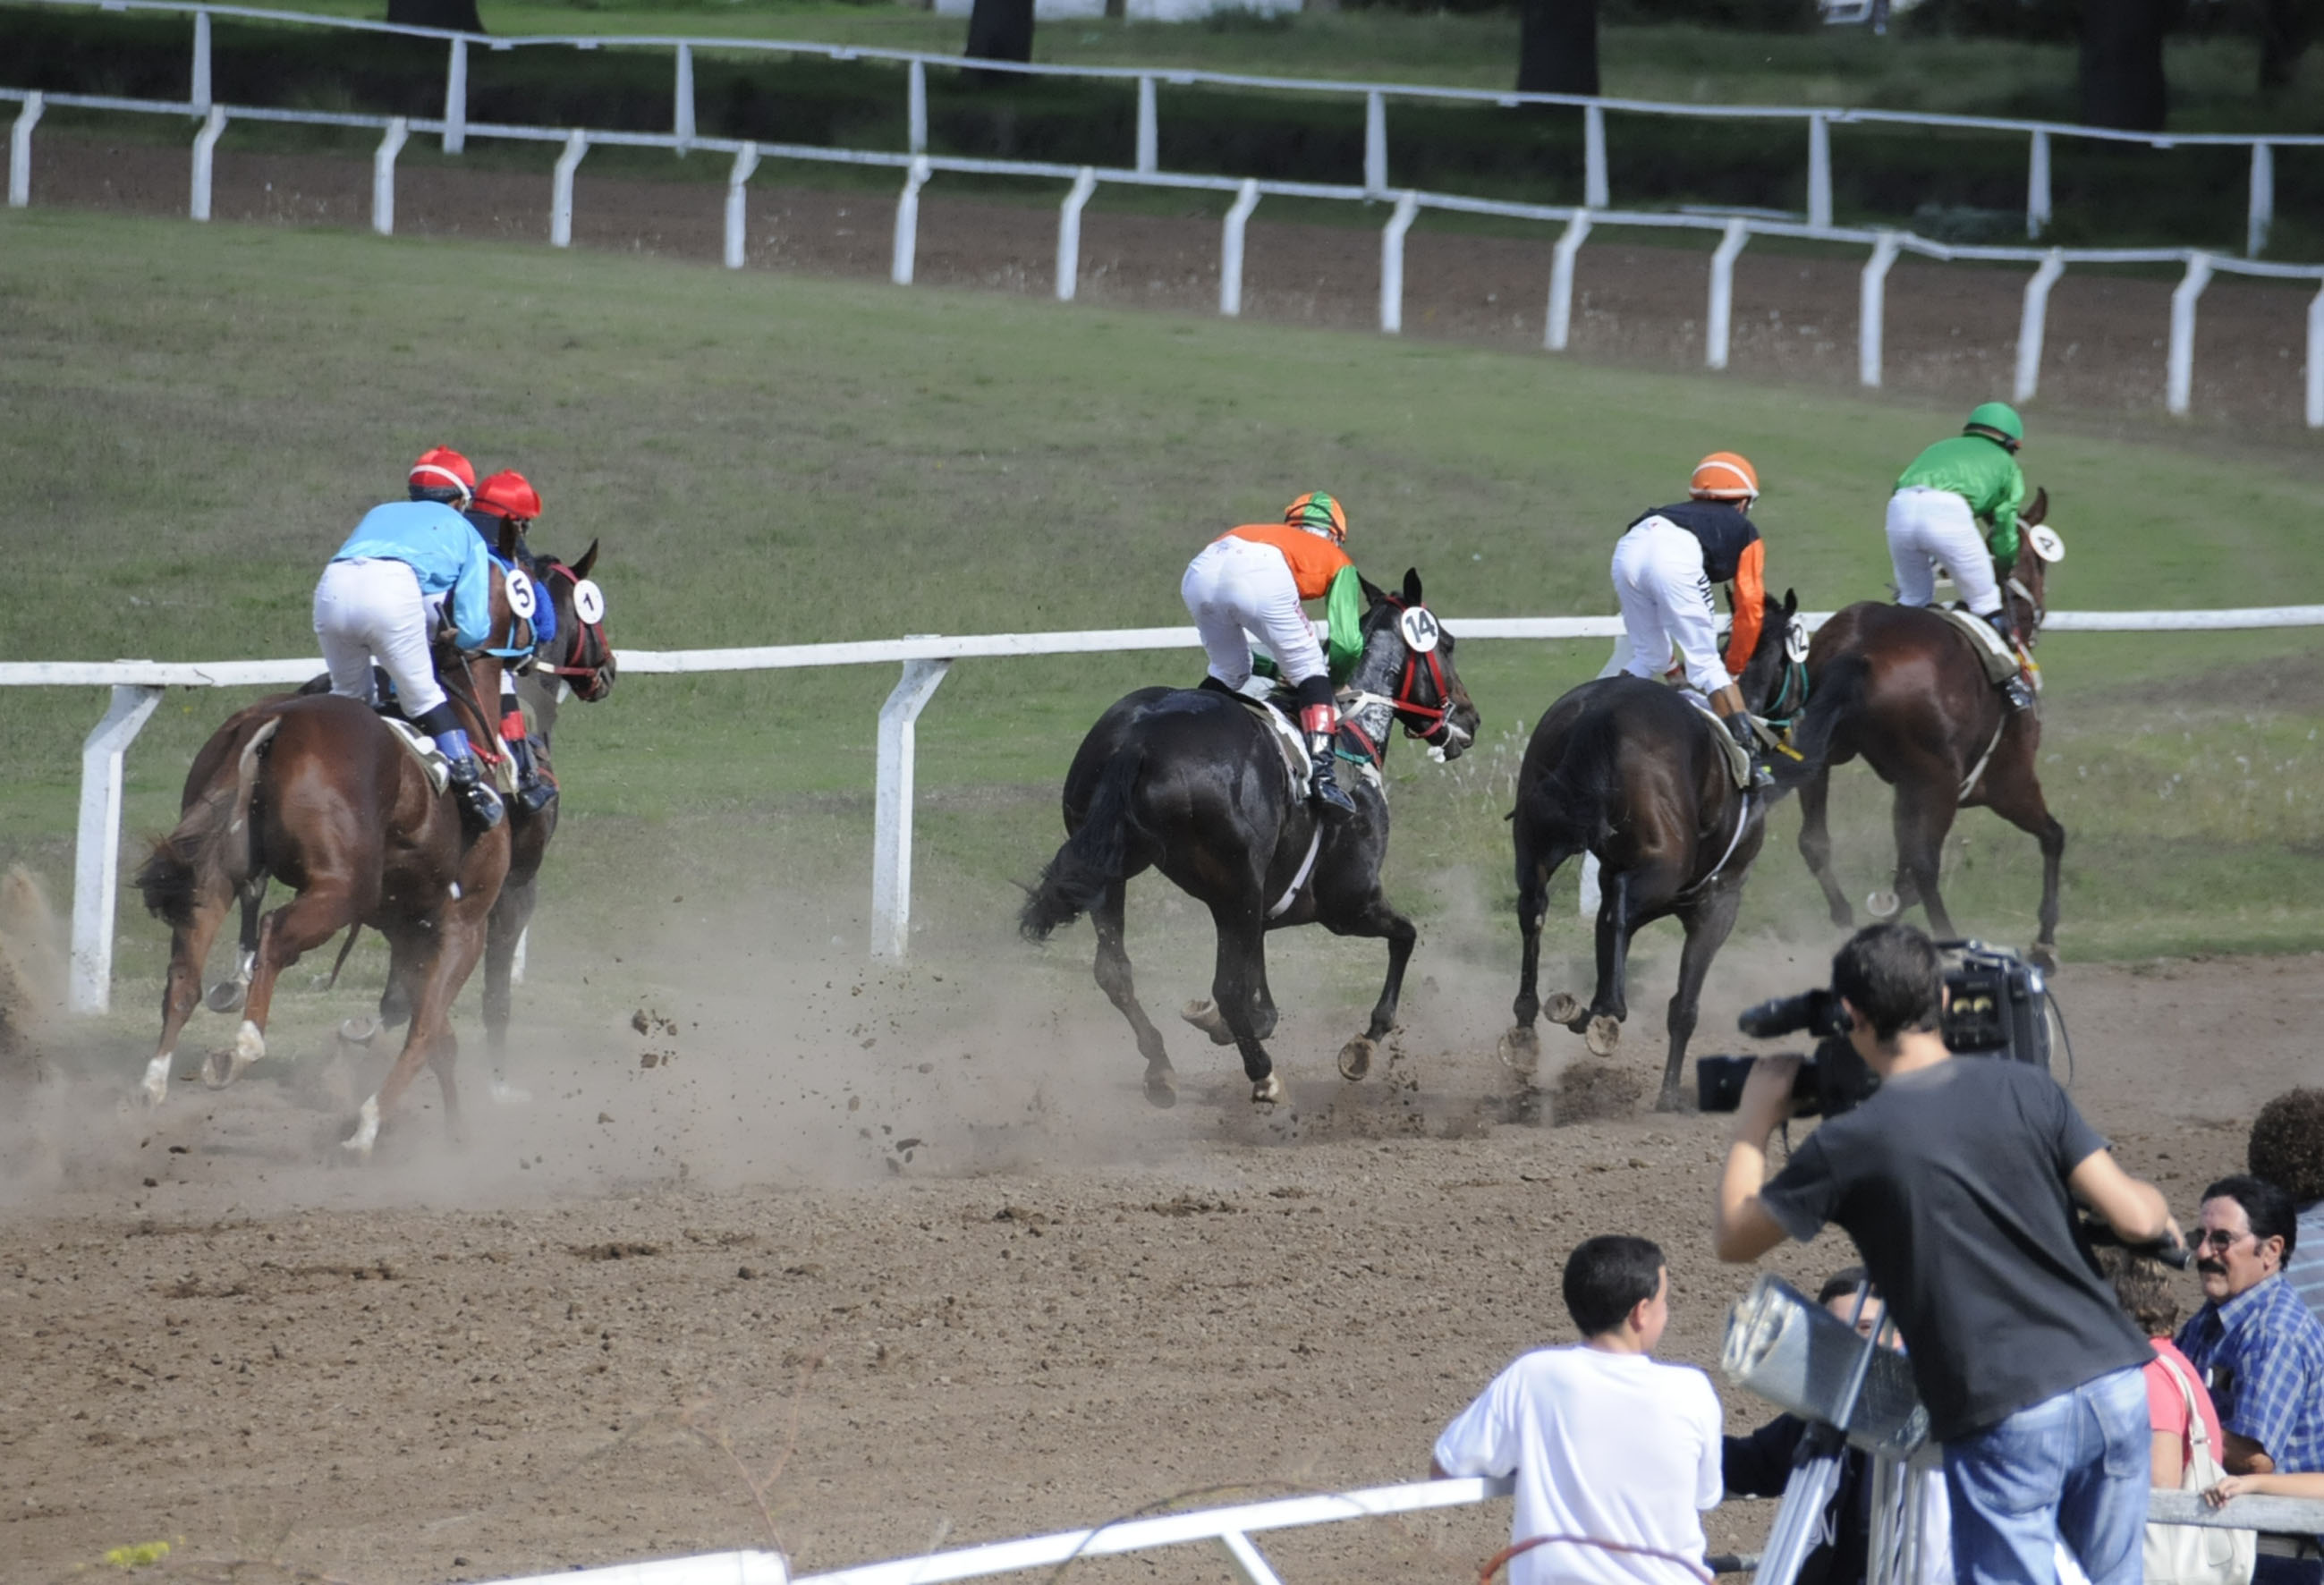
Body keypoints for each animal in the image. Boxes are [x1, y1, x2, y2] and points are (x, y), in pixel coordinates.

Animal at [140, 566, 531, 1148]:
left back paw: (153, 1084)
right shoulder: (463, 923)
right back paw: (242, 1049)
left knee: (185, 972)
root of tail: (275, 719)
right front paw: (370, 1127)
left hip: (212, 876)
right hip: (339, 889)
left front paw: (454, 1132)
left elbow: (438, 1034)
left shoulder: (407, 927)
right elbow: (425, 1031)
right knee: (274, 933)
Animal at [1027, 573, 1478, 1106]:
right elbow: (1405, 937)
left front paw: (1215, 1022)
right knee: (1224, 987)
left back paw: (1161, 1067)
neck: (1350, 734)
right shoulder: (1348, 904)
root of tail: (1140, 738)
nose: (1469, 719)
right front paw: (1362, 1046)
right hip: (1238, 883)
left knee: (1115, 970)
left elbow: (1258, 995)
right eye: (1447, 644)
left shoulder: (1258, 912)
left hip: (1116, 870)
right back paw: (1262, 1075)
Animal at [1497, 583, 1803, 1110]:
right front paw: (1668, 1094)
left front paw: (1581, 1011)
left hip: (1539, 842)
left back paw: (1529, 1022)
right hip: (1663, 868)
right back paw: (1605, 1016)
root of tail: (1598, 712)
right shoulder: (1717, 901)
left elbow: (1606, 940)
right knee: (1615, 907)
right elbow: (1684, 1005)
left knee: (1533, 907)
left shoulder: (1626, 881)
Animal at [1785, 487, 2064, 962]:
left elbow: (1900, 877)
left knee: (1815, 841)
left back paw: (1845, 915)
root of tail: (1857, 648)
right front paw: (2044, 938)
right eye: (2041, 563)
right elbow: (2053, 836)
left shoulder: (1906, 787)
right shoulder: (2008, 783)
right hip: (1940, 780)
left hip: (1825, 753)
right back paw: (1951, 942)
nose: (2040, 610)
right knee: (1925, 865)